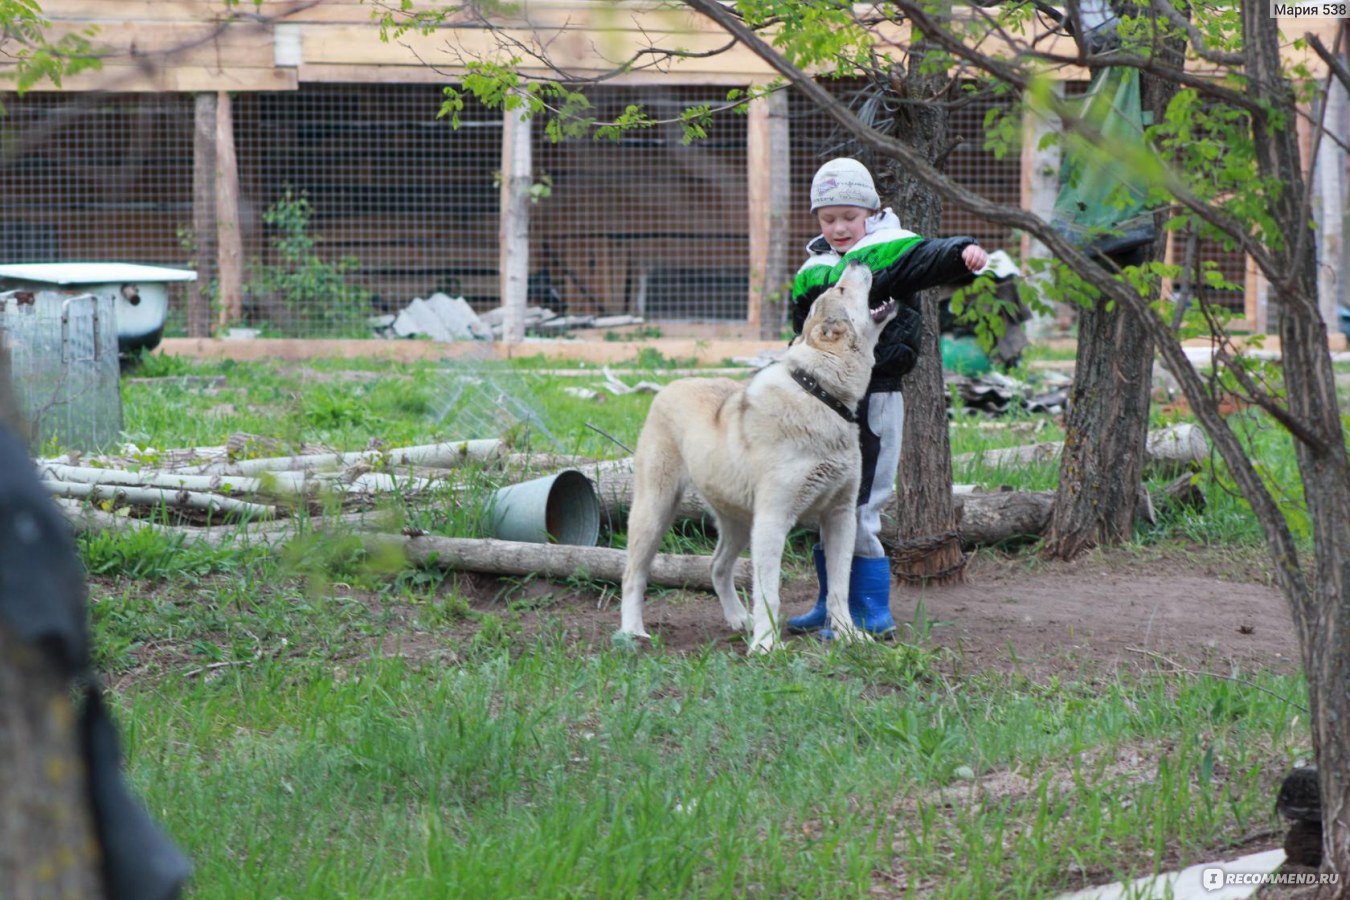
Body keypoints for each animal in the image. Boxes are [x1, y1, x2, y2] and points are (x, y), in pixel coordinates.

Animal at [618, 261, 896, 655]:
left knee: (717, 566)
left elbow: (840, 586)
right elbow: (769, 592)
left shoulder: (840, 516)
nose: (857, 262)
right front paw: (766, 646)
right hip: (655, 510)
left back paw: (738, 619)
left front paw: (848, 635)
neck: (820, 394)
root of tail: (669, 387)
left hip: (736, 520)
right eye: (841, 290)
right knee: (633, 574)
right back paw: (632, 631)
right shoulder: (773, 521)